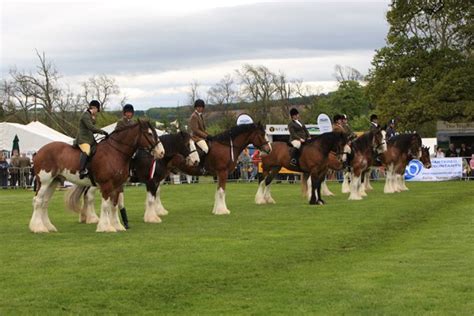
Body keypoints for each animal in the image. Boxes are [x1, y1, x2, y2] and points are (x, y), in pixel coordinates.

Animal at [30, 118, 163, 232]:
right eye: (150, 134)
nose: (161, 152)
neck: (115, 152)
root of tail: (39, 152)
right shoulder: (106, 185)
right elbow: (105, 206)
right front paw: (105, 227)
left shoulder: (117, 185)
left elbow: (114, 205)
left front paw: (117, 226)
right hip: (44, 182)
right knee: (38, 201)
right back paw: (38, 228)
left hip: (54, 181)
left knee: (45, 202)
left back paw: (48, 227)